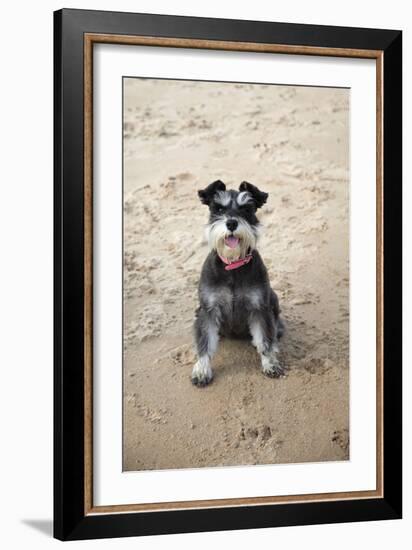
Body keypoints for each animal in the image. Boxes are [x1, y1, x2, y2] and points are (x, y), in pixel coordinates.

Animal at [192, 181, 284, 388]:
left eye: (246, 209)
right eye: (218, 208)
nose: (232, 223)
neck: (233, 266)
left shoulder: (259, 308)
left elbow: (265, 338)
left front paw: (270, 363)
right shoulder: (208, 309)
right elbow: (205, 342)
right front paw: (202, 370)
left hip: (273, 299)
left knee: (273, 330)